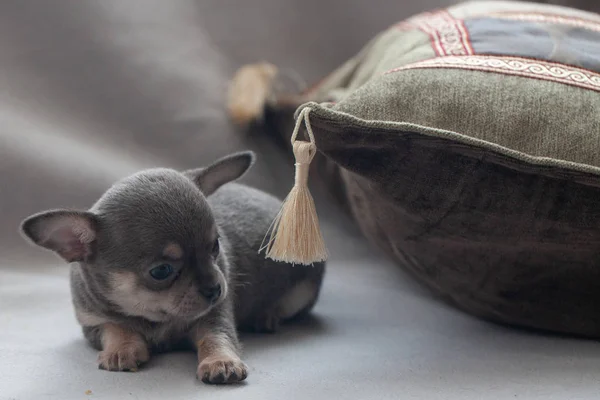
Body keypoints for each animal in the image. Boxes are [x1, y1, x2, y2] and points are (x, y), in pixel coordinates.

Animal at [21, 151, 326, 384]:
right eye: (161, 271)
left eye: (215, 246)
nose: (216, 289)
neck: (153, 318)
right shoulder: (92, 323)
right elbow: (115, 326)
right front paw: (122, 348)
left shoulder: (215, 315)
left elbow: (216, 337)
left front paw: (221, 362)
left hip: (300, 295)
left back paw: (265, 316)